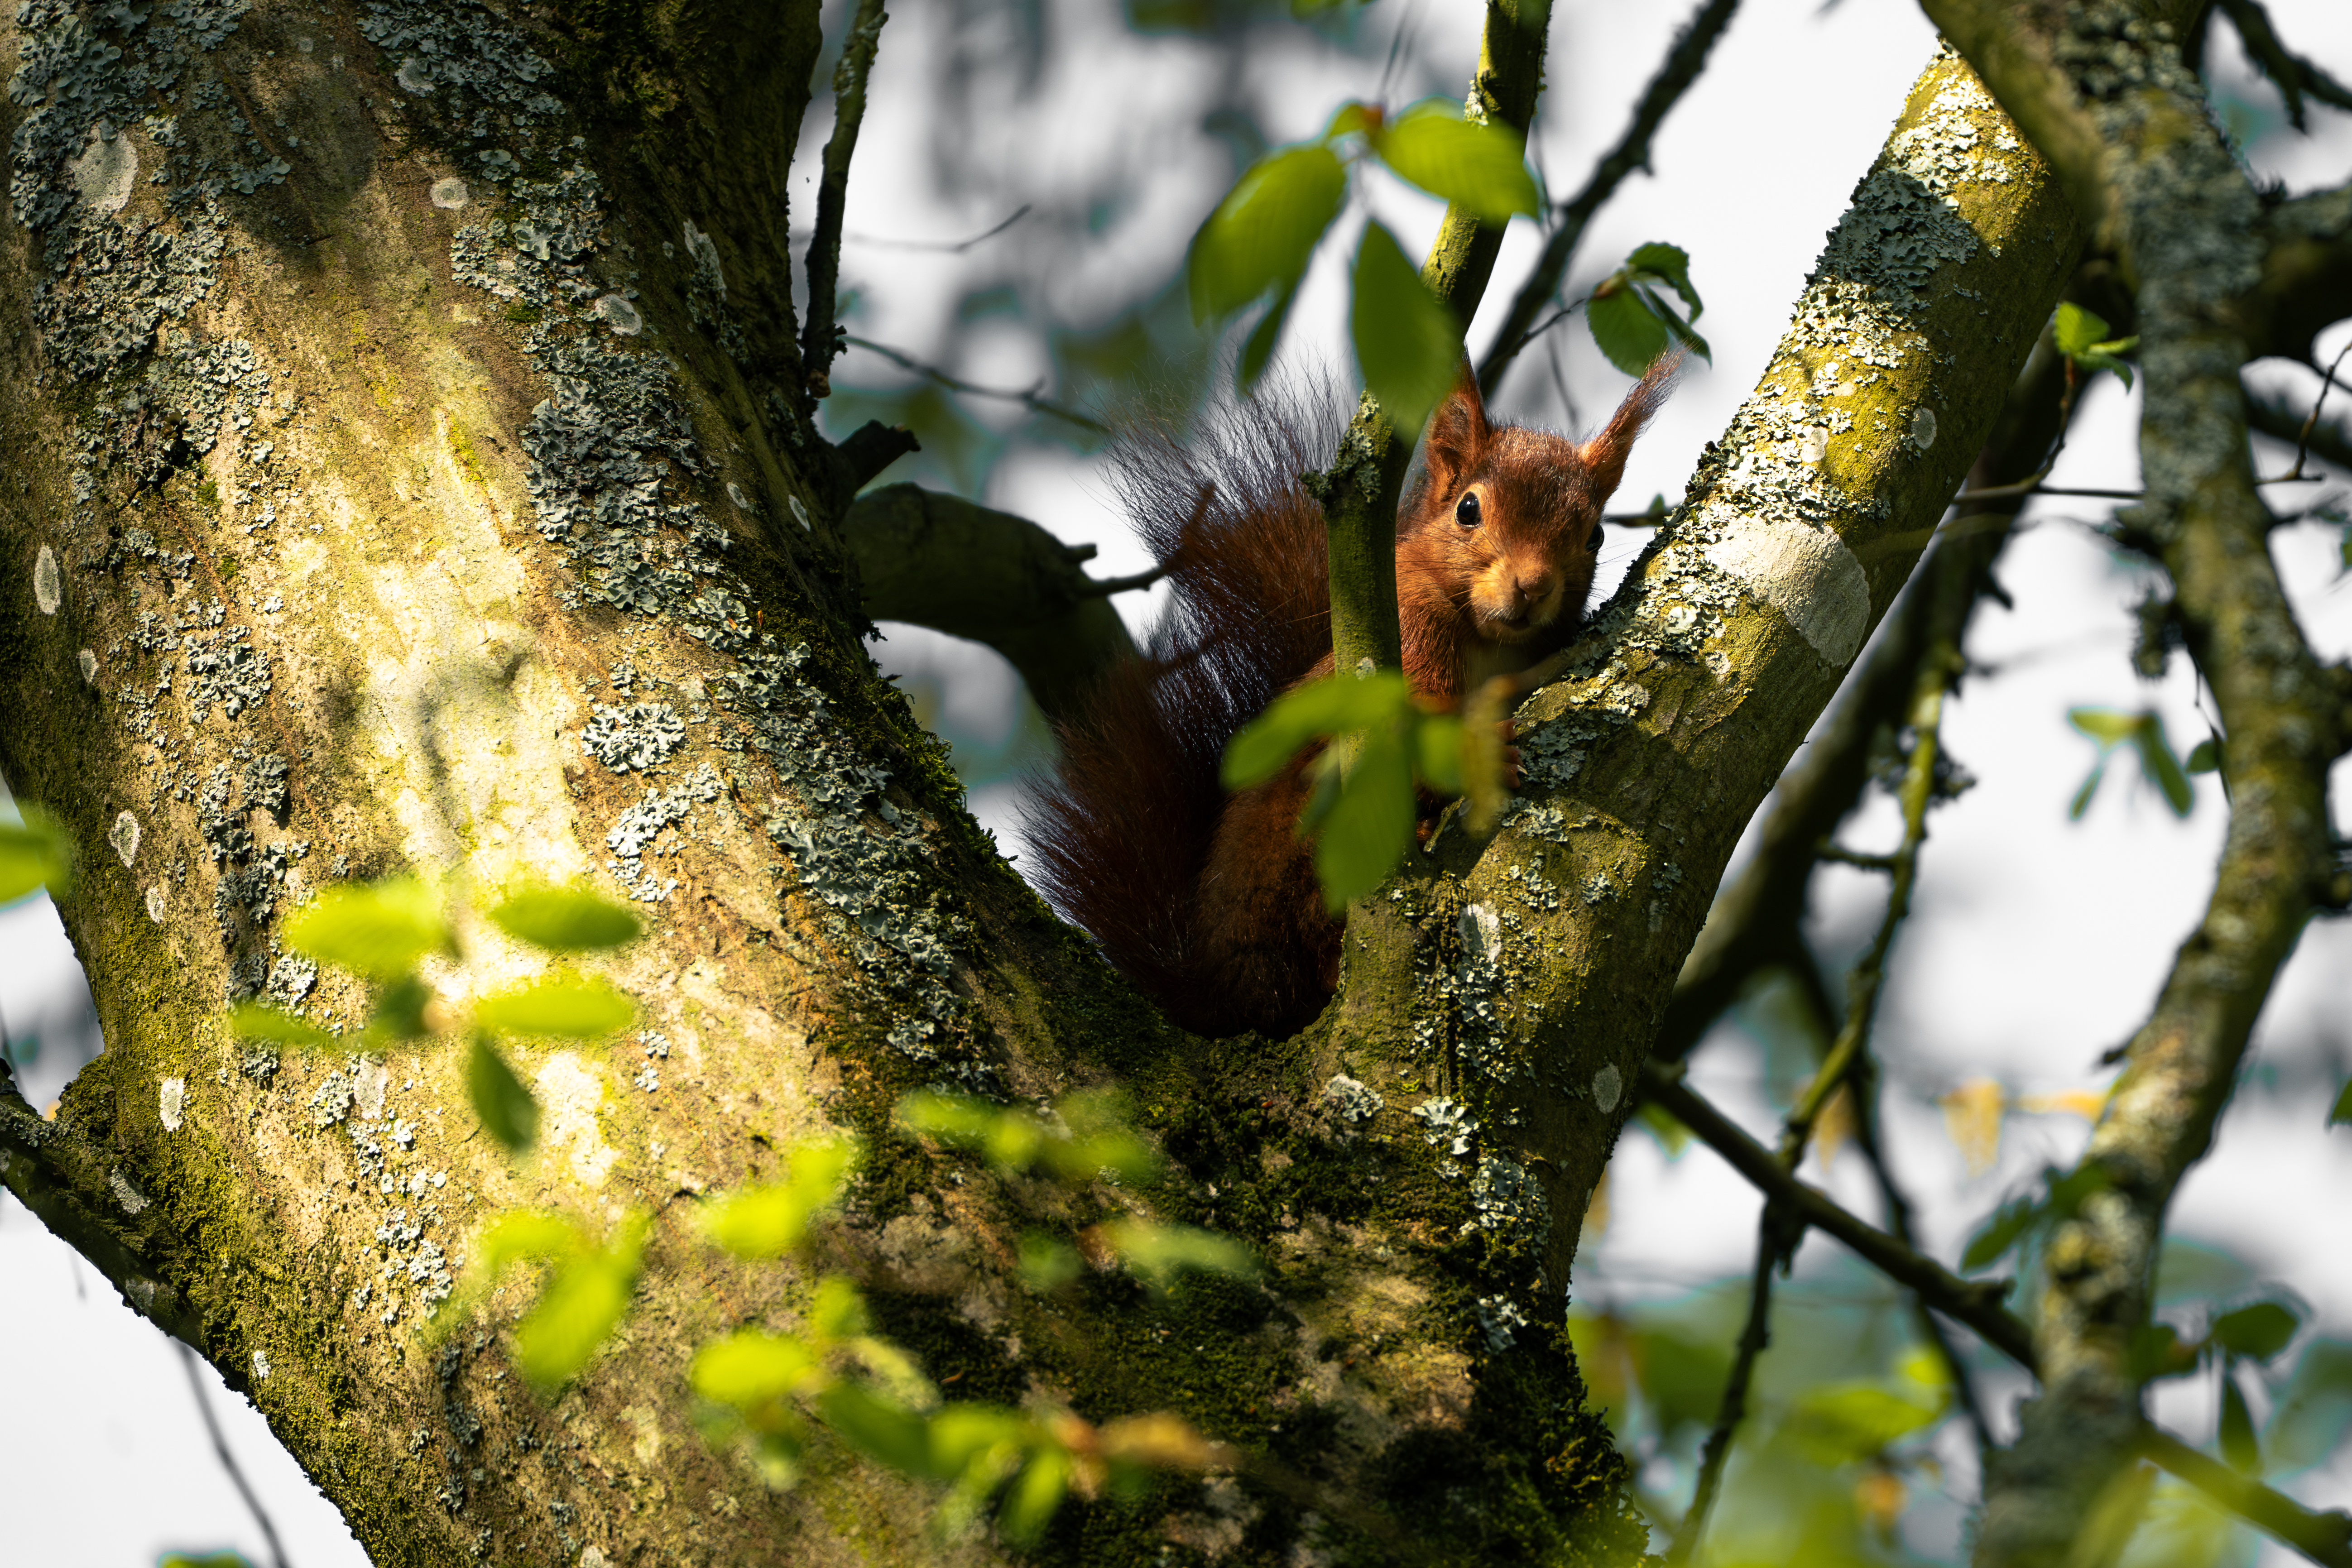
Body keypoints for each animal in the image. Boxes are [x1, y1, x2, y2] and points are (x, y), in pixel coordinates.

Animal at [1024, 358, 1676, 1038]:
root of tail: (1229, 995)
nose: (1532, 585)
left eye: (1594, 535)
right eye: (1468, 509)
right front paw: (1477, 751)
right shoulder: (1406, 635)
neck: (1489, 641)